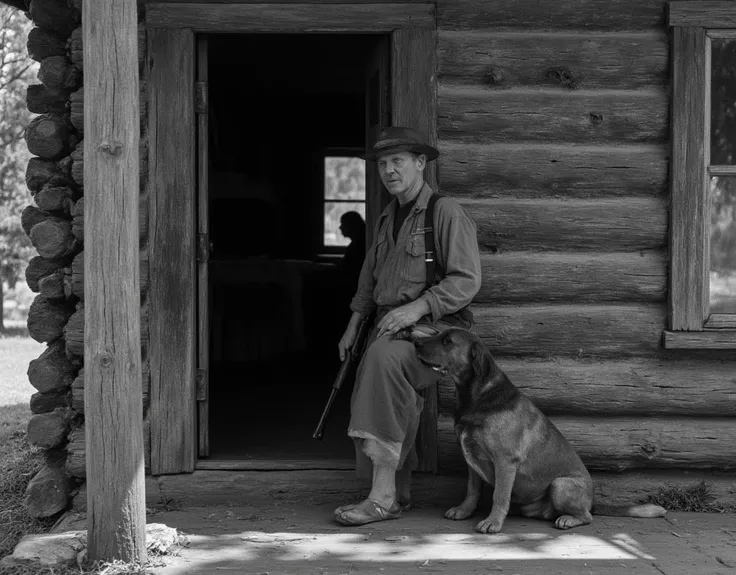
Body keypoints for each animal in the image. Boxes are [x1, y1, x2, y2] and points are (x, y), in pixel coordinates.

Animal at [414, 328, 668, 536]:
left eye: (447, 341)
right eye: (438, 334)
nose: (415, 341)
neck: (477, 397)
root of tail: (592, 501)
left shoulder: (505, 461)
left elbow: (500, 496)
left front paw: (493, 522)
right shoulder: (472, 461)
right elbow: (472, 491)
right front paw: (464, 511)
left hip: (560, 485)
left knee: (587, 516)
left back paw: (568, 519)